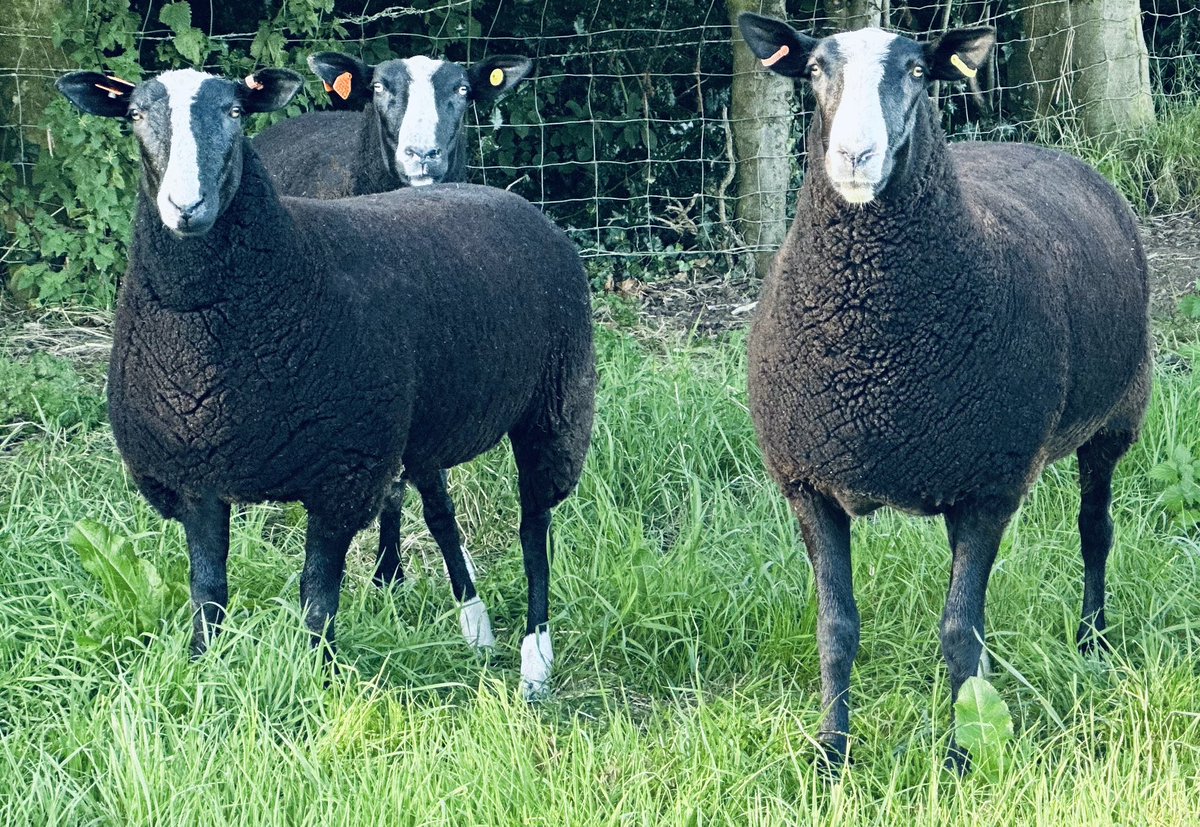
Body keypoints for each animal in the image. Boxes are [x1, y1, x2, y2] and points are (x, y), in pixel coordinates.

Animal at [737, 13, 1151, 771]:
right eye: (813, 70)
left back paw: (1093, 641)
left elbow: (960, 628)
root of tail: (1034, 147)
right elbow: (836, 628)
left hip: (1117, 417)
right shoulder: (809, 483)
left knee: (1095, 531)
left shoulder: (990, 486)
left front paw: (963, 756)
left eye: (916, 72)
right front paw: (831, 754)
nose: (855, 155)